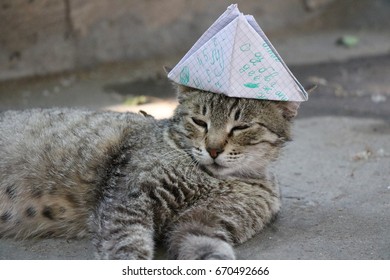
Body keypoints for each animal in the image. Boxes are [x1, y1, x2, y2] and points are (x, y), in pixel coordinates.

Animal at [0, 84, 302, 260]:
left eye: (240, 127)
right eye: (199, 122)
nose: (213, 149)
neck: (213, 180)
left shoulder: (203, 222)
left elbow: (211, 253)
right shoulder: (127, 202)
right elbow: (128, 248)